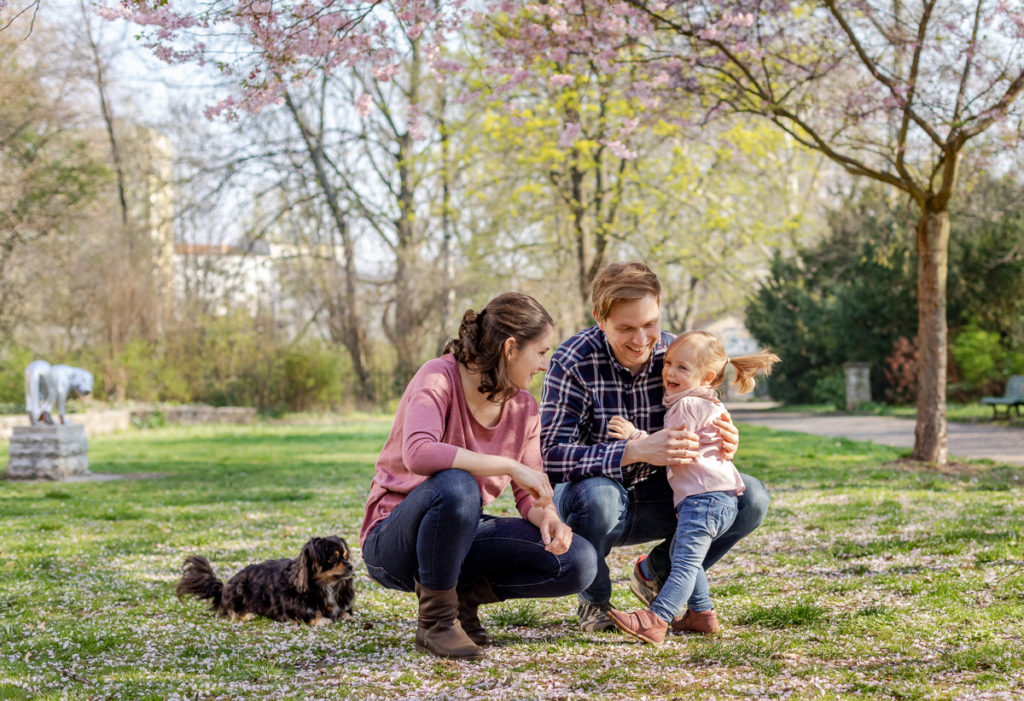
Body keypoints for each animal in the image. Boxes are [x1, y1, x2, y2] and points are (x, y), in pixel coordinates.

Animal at [174, 532, 354, 626]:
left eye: (345, 556)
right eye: (333, 559)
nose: (351, 566)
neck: (325, 585)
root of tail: (223, 588)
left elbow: (343, 610)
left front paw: (346, 615)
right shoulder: (293, 607)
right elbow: (310, 611)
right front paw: (321, 619)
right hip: (238, 590)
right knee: (232, 612)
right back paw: (248, 615)